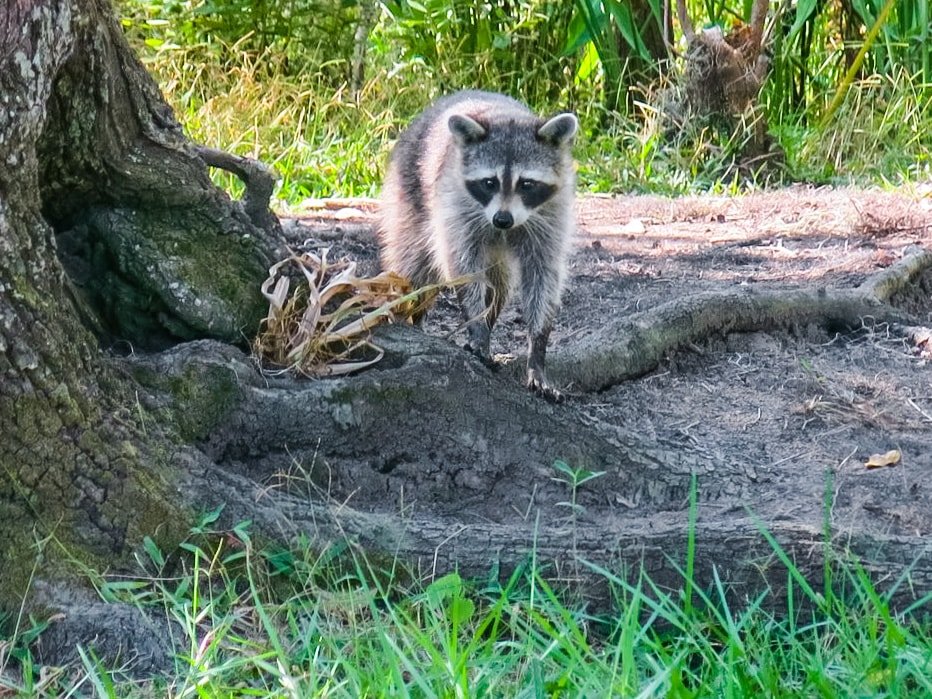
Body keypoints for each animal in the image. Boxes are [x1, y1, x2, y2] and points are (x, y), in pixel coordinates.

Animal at [376, 90, 576, 402]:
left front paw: (537, 348)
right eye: (489, 182)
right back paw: (410, 318)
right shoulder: (456, 204)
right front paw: (476, 326)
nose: (502, 219)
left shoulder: (551, 215)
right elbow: (462, 265)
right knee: (413, 269)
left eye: (526, 184)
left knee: (499, 285)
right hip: (408, 196)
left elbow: (543, 276)